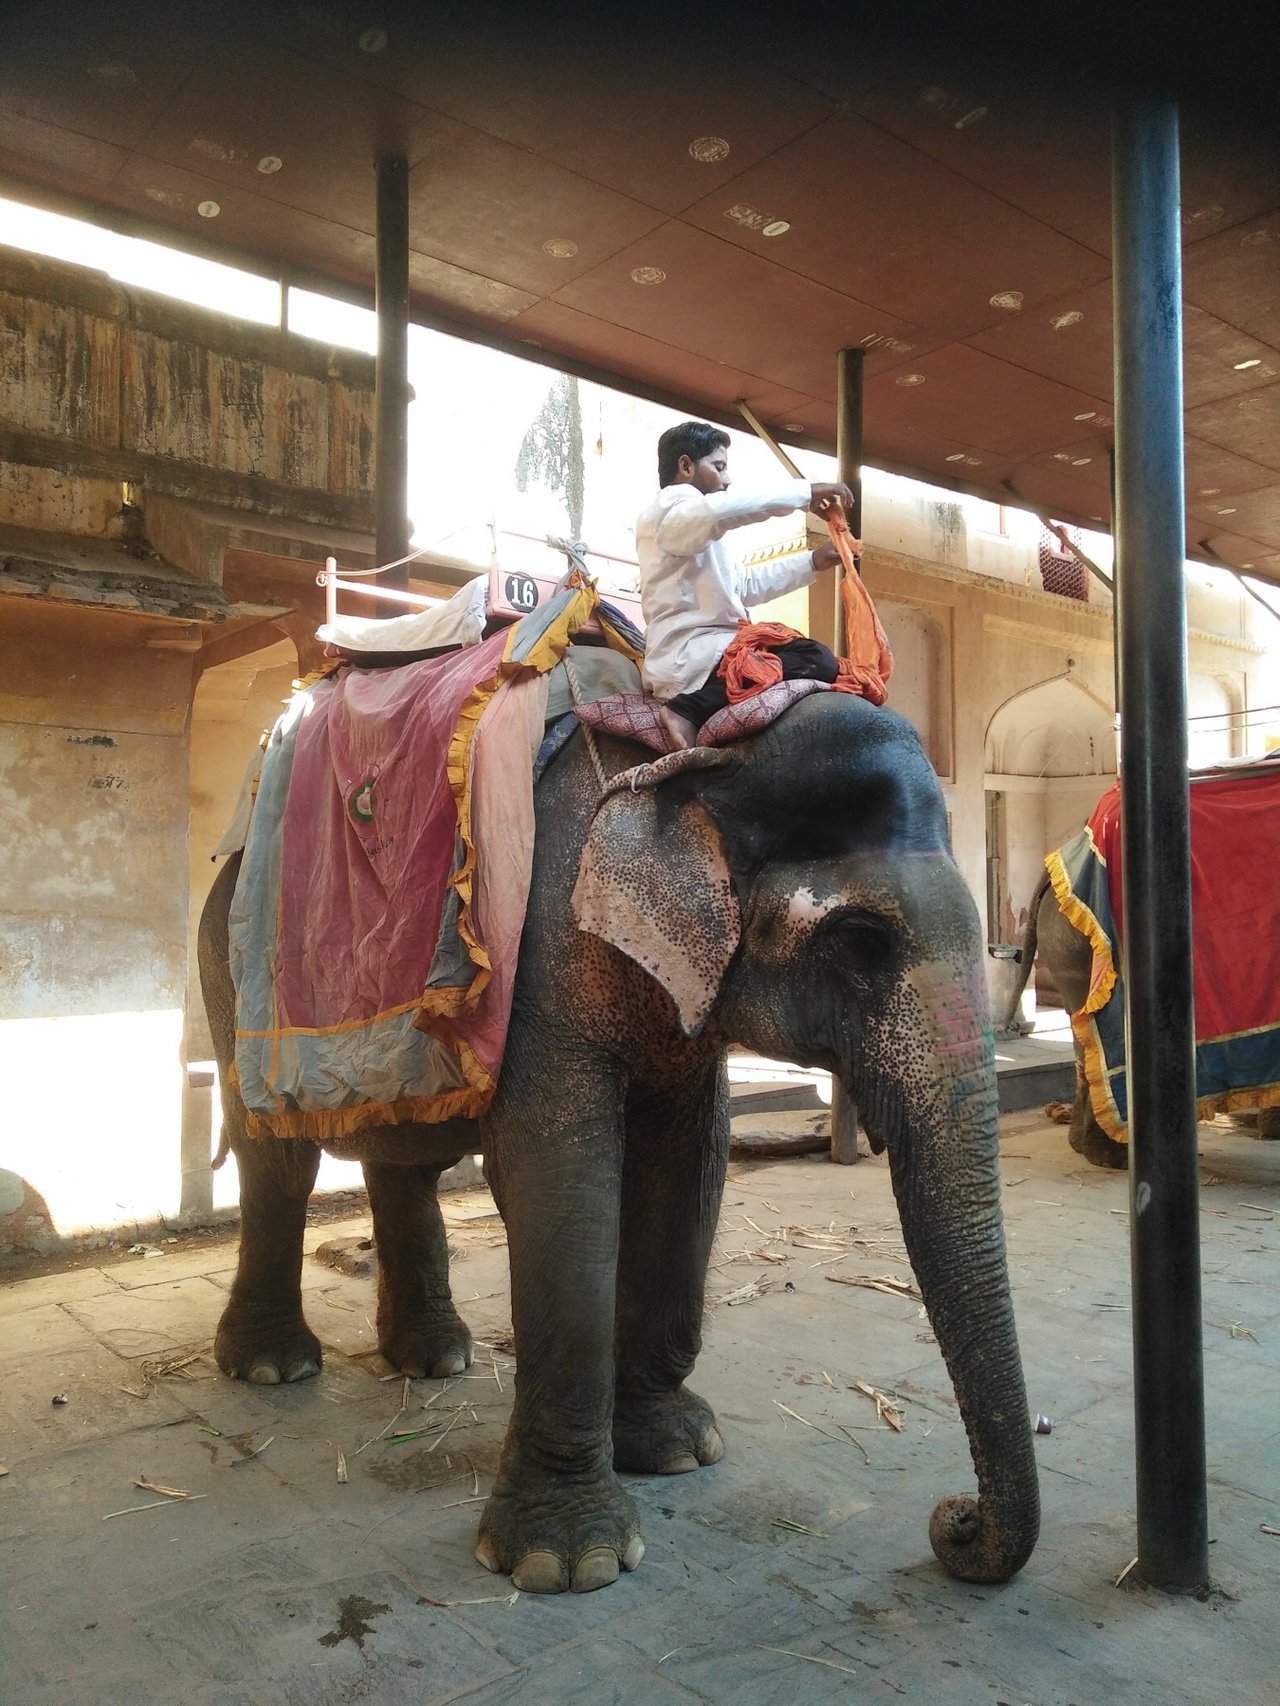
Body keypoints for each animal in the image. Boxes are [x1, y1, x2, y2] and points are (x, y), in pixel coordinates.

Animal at [200, 685, 1044, 1589]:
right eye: (861, 941)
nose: (955, 1521)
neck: (703, 751)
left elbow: (689, 1161)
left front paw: (674, 1451)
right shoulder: (542, 957)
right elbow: (562, 1171)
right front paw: (565, 1563)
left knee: (406, 1162)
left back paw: (434, 1359)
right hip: (228, 972)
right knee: (278, 1161)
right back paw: (275, 1367)